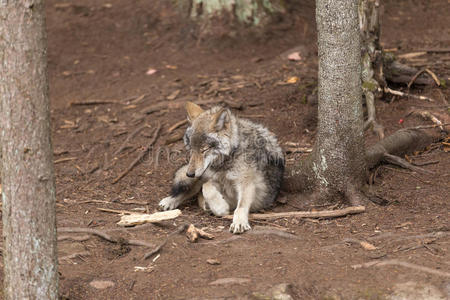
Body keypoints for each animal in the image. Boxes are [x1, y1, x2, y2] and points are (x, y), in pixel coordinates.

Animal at [159, 102, 284, 233]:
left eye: (204, 150)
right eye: (191, 149)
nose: (190, 174)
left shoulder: (247, 184)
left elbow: (240, 206)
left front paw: (238, 222)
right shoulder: (212, 179)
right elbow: (207, 187)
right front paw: (220, 207)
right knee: (191, 189)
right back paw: (169, 201)